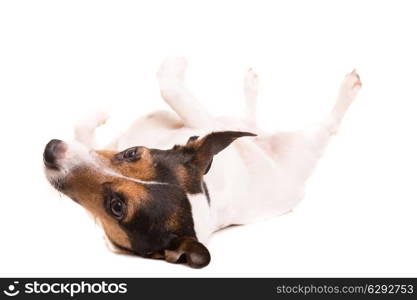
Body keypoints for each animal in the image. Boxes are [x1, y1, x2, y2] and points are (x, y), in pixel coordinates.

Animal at [43, 57, 360, 268]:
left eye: (117, 207)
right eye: (132, 152)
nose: (50, 150)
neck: (207, 199)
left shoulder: (202, 121)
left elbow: (171, 89)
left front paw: (173, 65)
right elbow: (85, 138)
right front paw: (95, 118)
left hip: (308, 143)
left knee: (329, 125)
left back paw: (348, 89)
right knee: (249, 121)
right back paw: (251, 87)